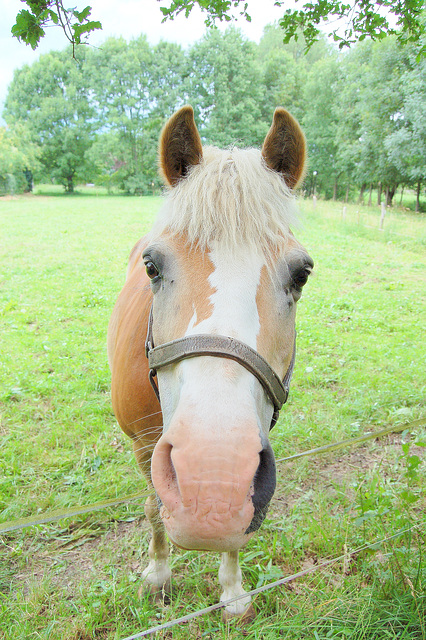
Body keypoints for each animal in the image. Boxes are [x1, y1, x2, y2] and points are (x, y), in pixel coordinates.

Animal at [107, 106, 312, 620]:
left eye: (301, 274)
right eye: (152, 266)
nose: (210, 482)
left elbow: (236, 532)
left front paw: (234, 594)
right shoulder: (142, 444)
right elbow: (152, 508)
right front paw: (158, 576)